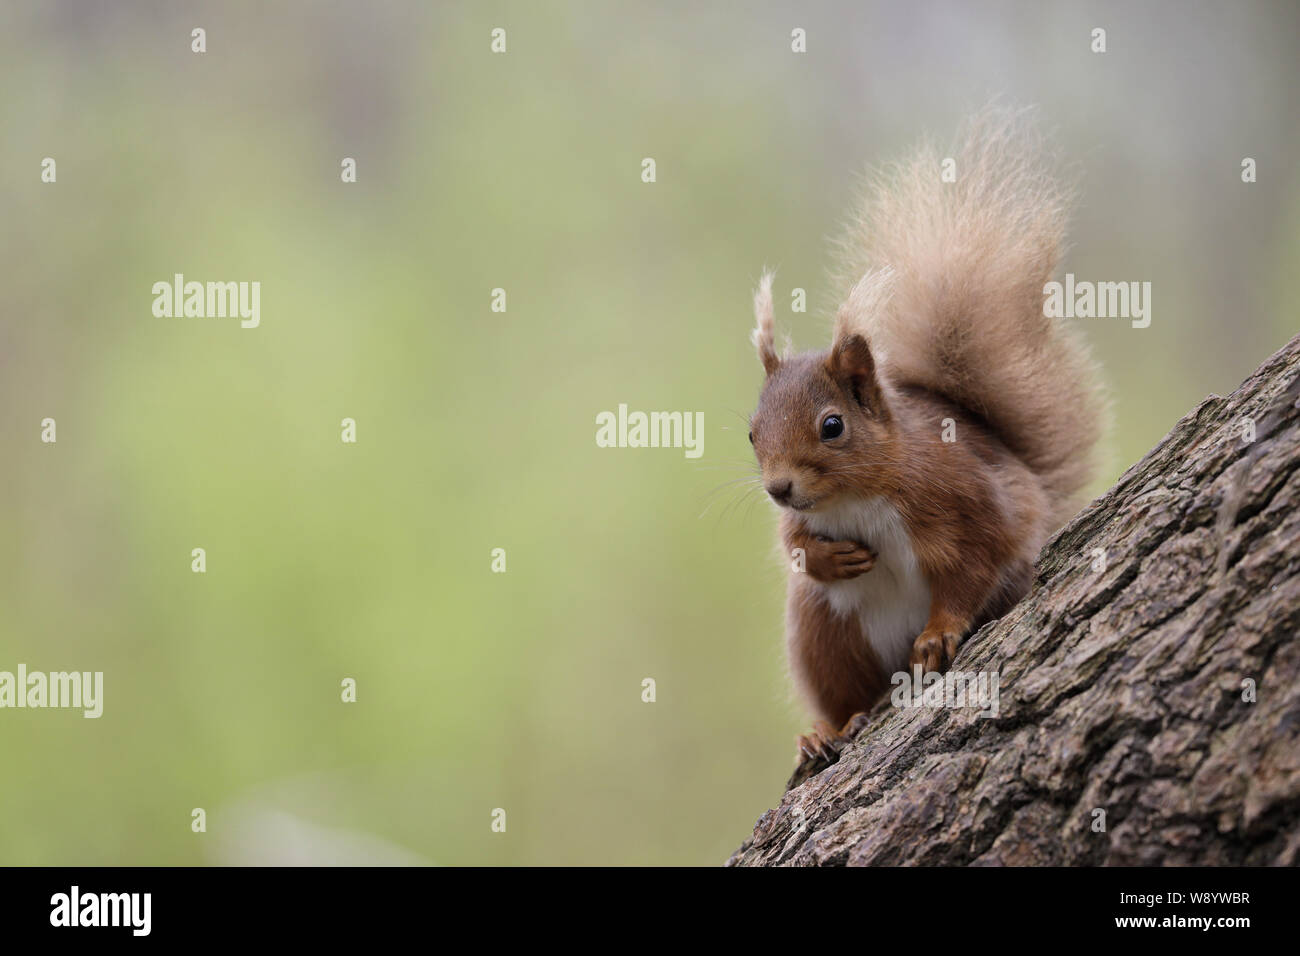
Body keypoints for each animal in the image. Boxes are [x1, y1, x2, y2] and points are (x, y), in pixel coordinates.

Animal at [746, 108, 1106, 770]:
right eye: (751, 433)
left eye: (832, 426)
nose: (779, 489)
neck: (858, 498)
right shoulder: (802, 520)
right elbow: (793, 545)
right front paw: (828, 556)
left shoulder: (963, 496)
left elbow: (975, 559)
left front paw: (940, 633)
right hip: (823, 629)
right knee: (845, 693)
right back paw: (824, 733)